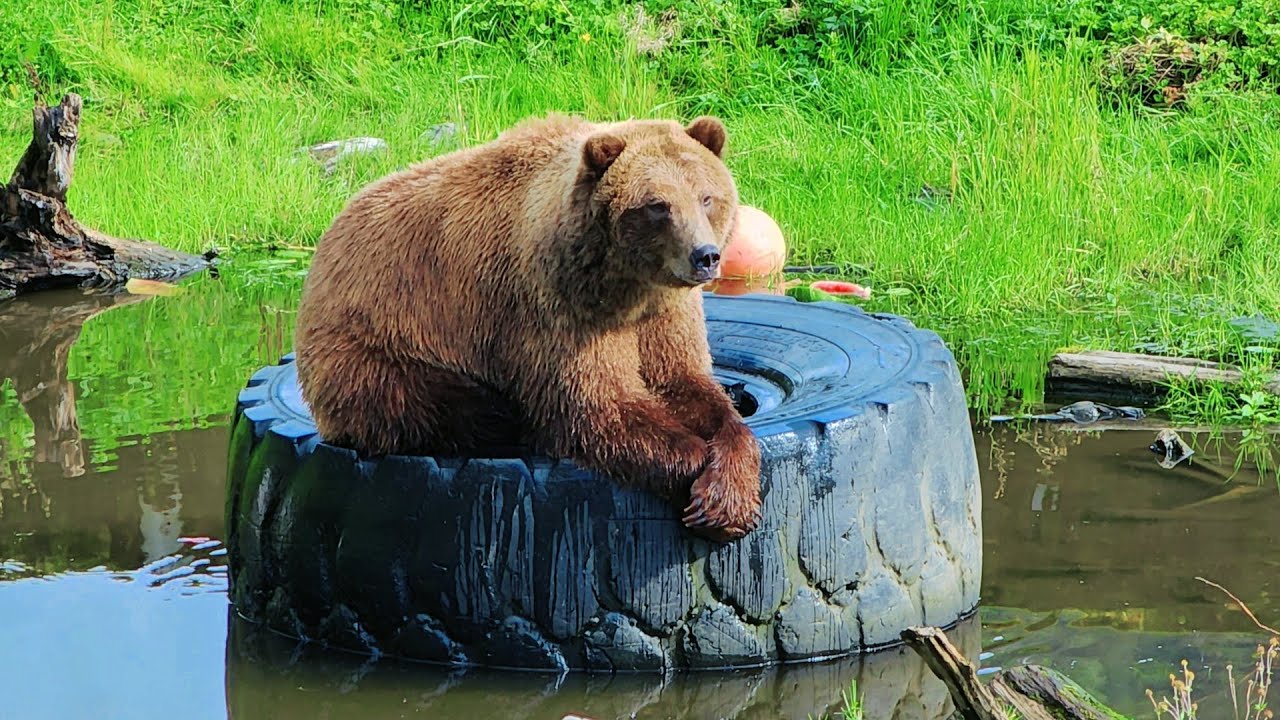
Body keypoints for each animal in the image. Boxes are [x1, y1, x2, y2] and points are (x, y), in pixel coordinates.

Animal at [293, 113, 761, 541]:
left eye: (706, 197)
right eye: (657, 205)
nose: (705, 255)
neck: (626, 285)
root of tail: (326, 243)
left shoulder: (664, 312)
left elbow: (685, 383)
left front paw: (728, 492)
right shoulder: (558, 306)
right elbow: (597, 405)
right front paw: (699, 476)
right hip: (383, 346)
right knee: (448, 406)